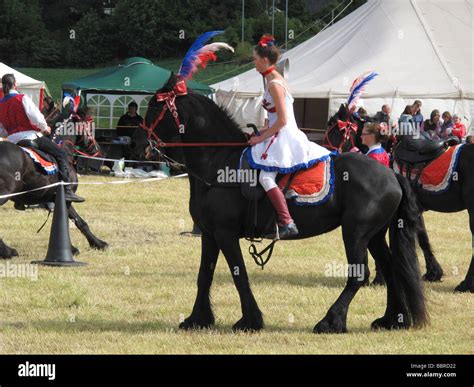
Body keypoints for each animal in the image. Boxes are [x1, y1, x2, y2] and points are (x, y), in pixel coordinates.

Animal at [0, 123, 108, 260]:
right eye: (88, 127)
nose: (98, 149)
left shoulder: (52, 200)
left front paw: (96, 244)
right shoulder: (66, 200)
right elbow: (75, 221)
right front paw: (89, 245)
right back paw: (8, 251)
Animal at [131, 76, 428, 334]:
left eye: (154, 107)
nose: (138, 143)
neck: (218, 164)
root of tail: (391, 174)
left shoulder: (226, 234)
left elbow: (239, 275)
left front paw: (250, 320)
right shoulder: (210, 234)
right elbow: (205, 275)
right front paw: (197, 319)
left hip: (356, 233)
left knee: (359, 275)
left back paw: (331, 321)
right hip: (374, 235)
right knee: (390, 270)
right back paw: (393, 319)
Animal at [326, 104, 474, 292]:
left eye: (337, 128)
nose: (328, 152)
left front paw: (379, 278)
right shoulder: (416, 209)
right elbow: (423, 238)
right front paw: (433, 273)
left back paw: (466, 284)